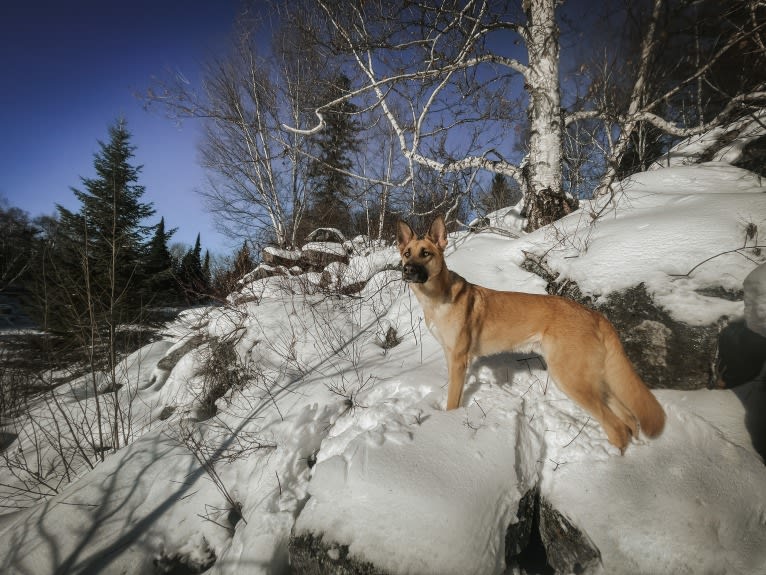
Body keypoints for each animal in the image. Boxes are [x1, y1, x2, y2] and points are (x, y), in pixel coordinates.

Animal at [400, 214, 668, 452]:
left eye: (426, 253)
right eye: (406, 253)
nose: (407, 271)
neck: (436, 297)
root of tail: (594, 314)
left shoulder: (458, 360)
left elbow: (453, 401)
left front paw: (449, 424)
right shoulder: (452, 356)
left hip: (570, 379)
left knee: (617, 427)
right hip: (594, 379)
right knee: (629, 420)